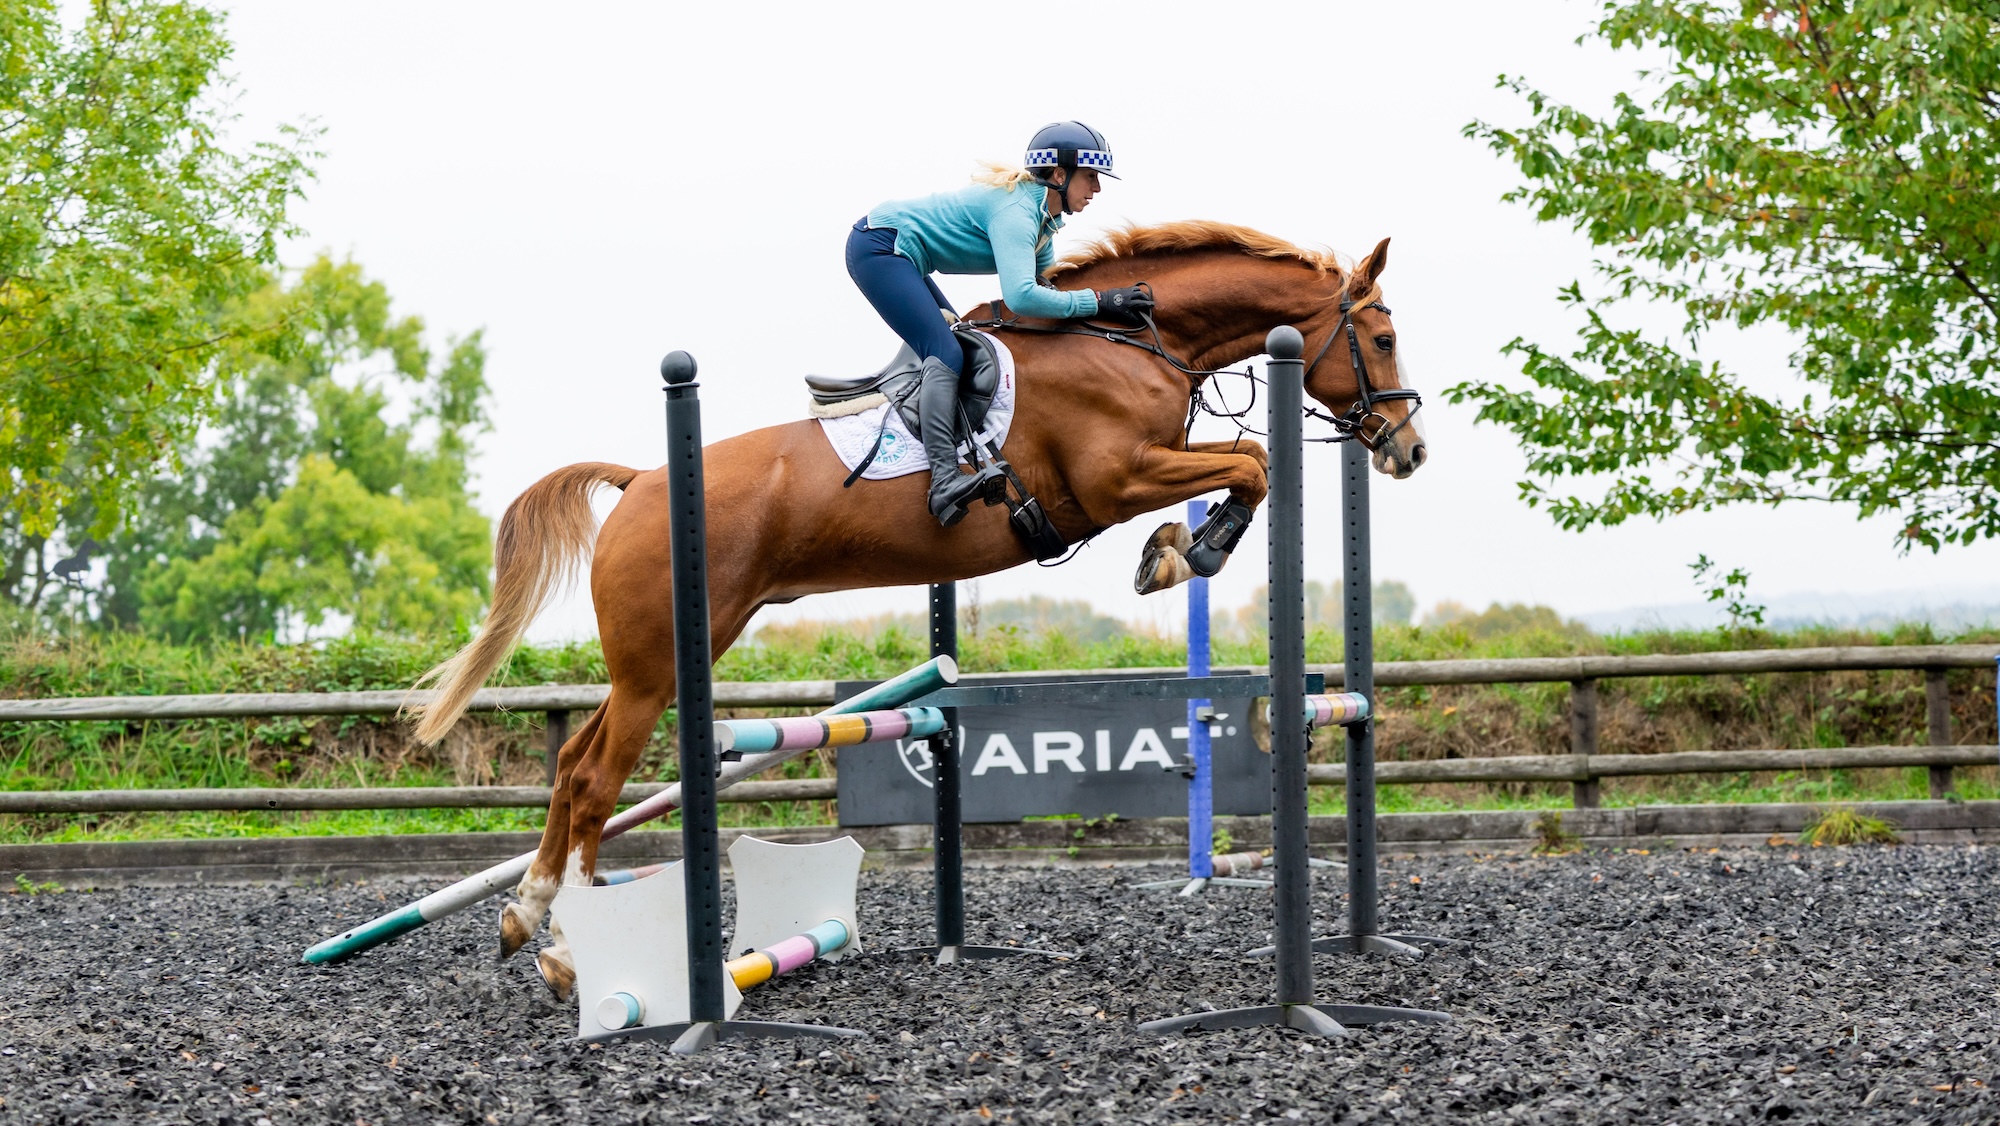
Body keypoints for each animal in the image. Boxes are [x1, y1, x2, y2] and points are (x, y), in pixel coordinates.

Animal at [410, 221, 1429, 997]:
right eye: (1381, 338)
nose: (1408, 450)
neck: (1131, 342)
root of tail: (639, 481)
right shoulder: (1115, 480)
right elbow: (1251, 464)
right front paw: (1186, 552)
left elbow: (1244, 464)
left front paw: (1176, 549)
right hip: (660, 661)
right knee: (591, 779)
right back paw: (571, 952)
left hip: (660, 657)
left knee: (571, 763)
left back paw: (526, 917)